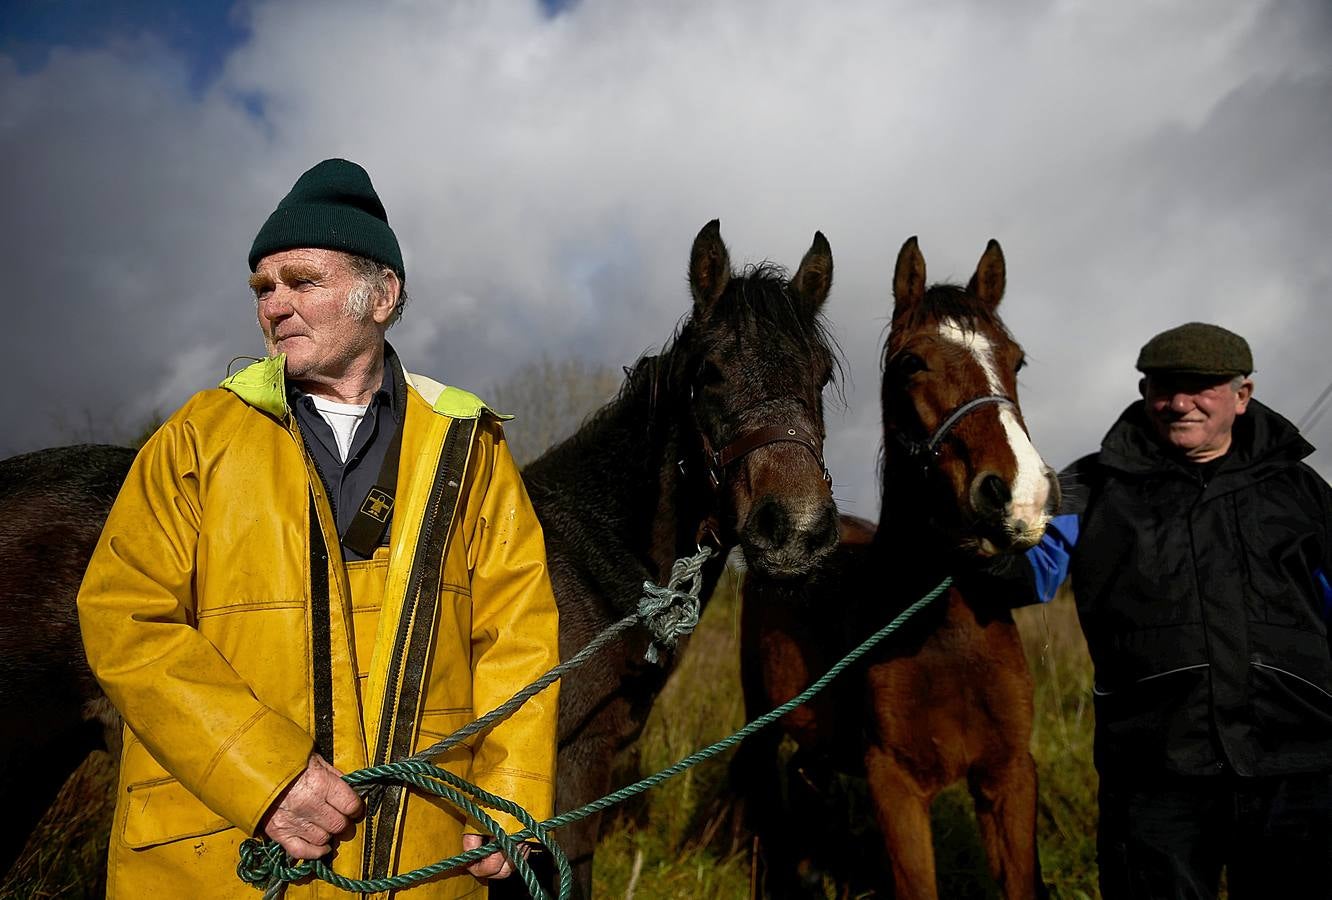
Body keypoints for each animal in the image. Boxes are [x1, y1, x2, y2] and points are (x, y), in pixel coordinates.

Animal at [735, 235, 1054, 894]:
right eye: (912, 363)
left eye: (1016, 361)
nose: (1021, 496)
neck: (943, 629)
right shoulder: (897, 786)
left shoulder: (1010, 777)